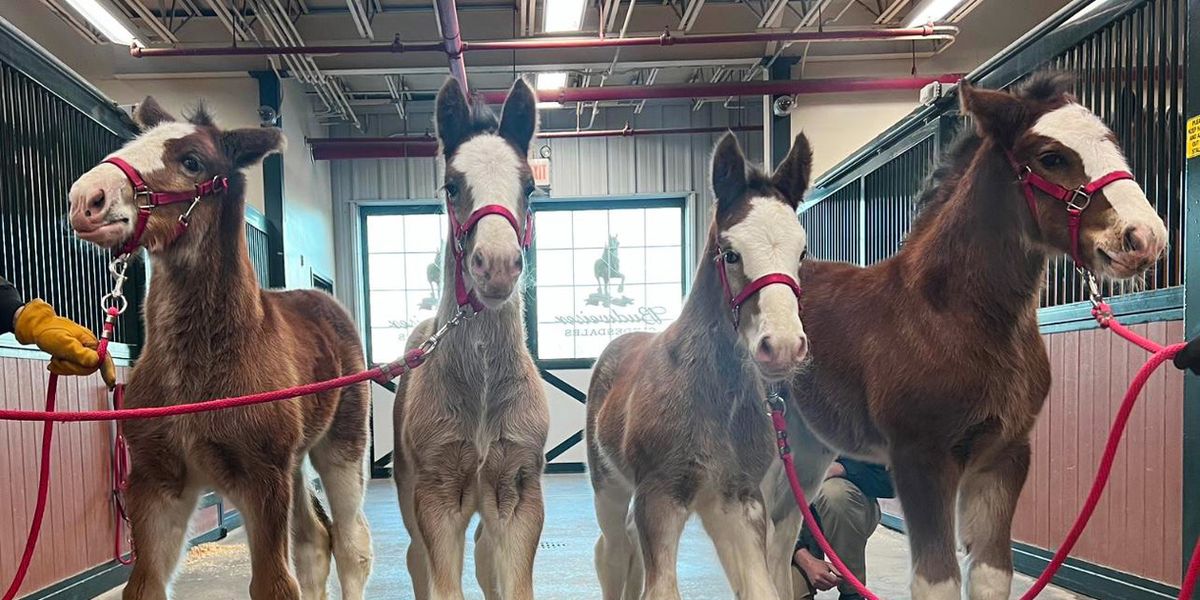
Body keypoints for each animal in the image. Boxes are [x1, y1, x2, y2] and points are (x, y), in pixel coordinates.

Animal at [66, 100, 369, 597]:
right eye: (131, 143)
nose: (86, 200)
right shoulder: (155, 481)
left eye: (192, 161)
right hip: (294, 461)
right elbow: (144, 585)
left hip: (342, 442)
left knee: (351, 543)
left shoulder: (264, 479)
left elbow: (274, 584)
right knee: (313, 542)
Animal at [391, 77, 547, 597]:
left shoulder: (518, 494)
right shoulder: (437, 499)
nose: (496, 266)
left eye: (529, 187)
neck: (481, 391)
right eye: (452, 185)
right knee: (417, 563)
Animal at [777, 72, 1161, 597]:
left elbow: (991, 574)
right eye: (1051, 157)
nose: (1145, 238)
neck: (955, 316)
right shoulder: (921, 458)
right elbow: (937, 579)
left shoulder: (1004, 455)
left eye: (1114, 142)